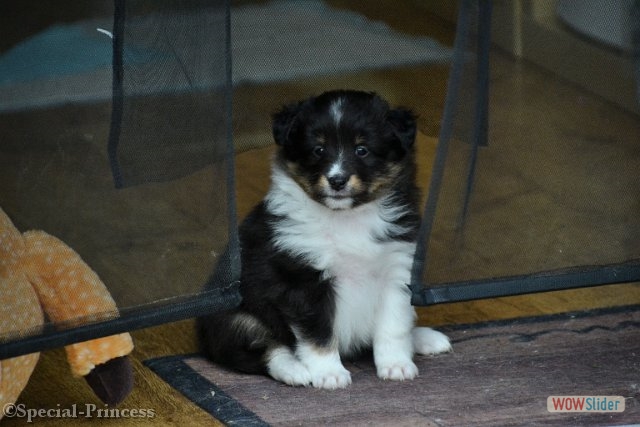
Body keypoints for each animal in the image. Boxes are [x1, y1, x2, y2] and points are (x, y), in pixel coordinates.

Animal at [198, 88, 452, 390]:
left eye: (362, 149)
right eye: (318, 150)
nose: (337, 180)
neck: (347, 218)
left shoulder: (396, 269)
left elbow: (393, 326)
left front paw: (396, 365)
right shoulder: (304, 279)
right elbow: (318, 334)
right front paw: (329, 373)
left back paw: (424, 338)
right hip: (236, 319)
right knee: (266, 349)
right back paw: (296, 371)